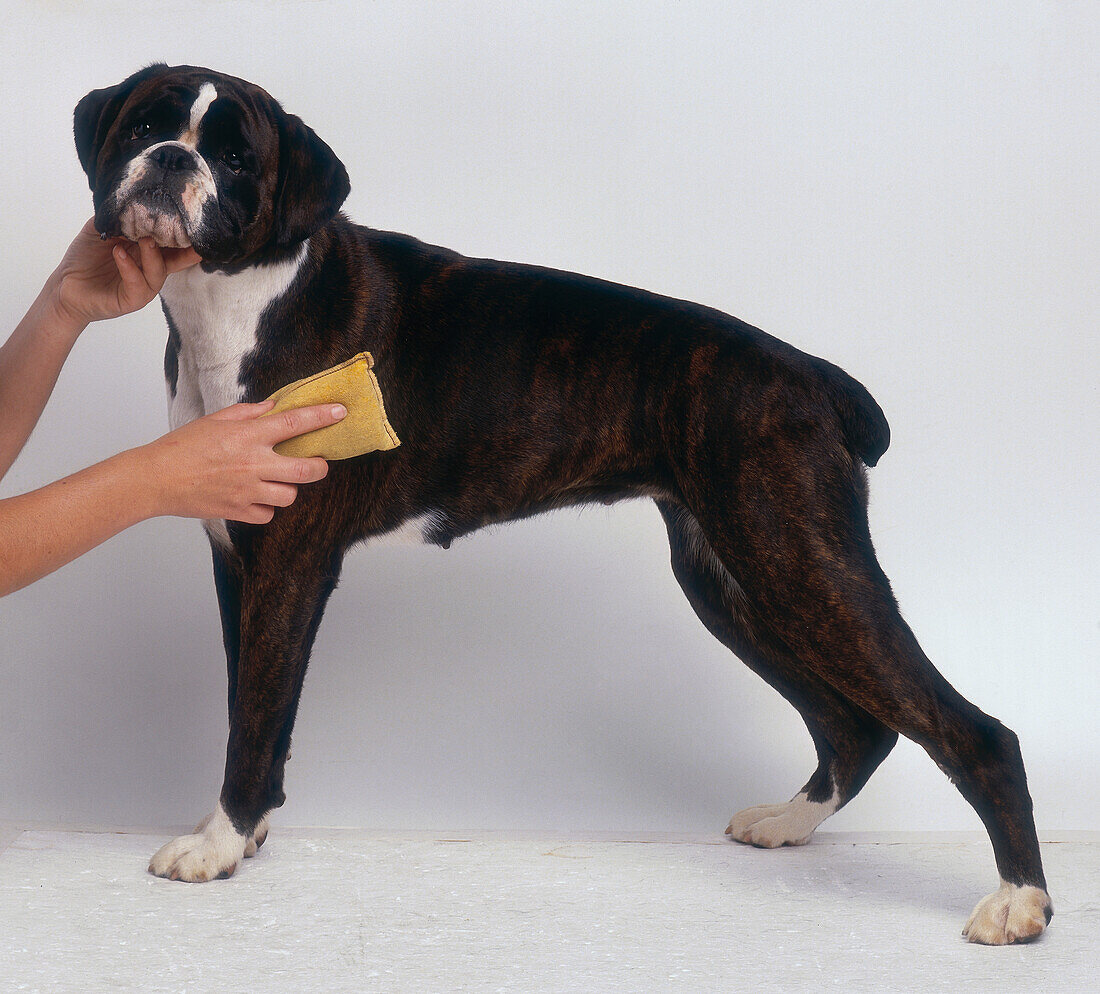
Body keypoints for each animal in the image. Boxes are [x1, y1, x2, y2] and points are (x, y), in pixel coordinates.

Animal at [73, 64, 1051, 945]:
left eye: (237, 158)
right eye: (142, 126)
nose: (169, 158)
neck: (241, 296)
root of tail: (812, 377)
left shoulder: (286, 565)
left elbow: (253, 713)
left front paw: (217, 843)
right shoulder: (238, 560)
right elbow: (255, 702)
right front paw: (250, 830)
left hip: (799, 565)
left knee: (972, 732)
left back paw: (1019, 902)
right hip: (738, 581)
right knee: (856, 725)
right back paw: (789, 822)